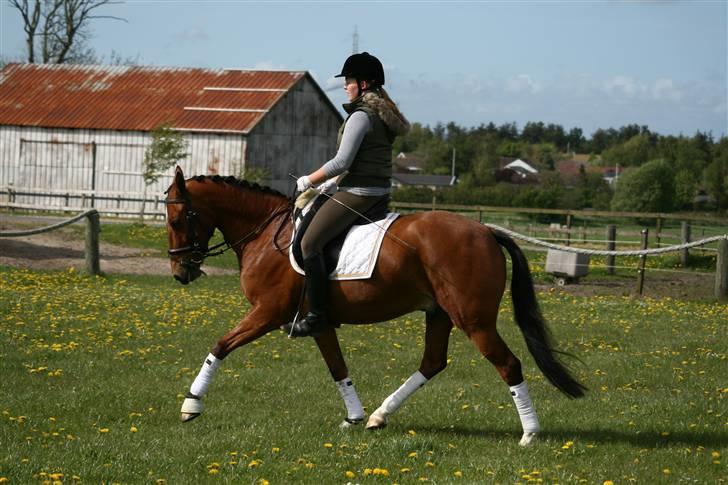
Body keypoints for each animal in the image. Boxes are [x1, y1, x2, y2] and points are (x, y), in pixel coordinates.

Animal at [165, 167, 584, 446]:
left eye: (178, 218)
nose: (180, 272)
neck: (267, 234)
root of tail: (486, 231)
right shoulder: (317, 322)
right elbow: (338, 368)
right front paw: (354, 417)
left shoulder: (268, 313)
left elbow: (220, 346)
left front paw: (191, 405)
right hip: (439, 313)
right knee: (433, 362)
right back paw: (380, 416)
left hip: (474, 320)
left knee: (507, 364)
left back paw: (529, 434)